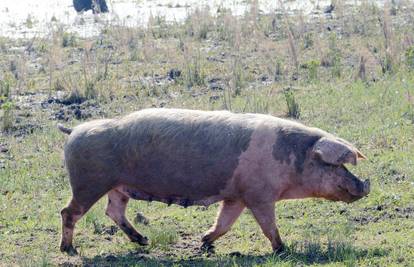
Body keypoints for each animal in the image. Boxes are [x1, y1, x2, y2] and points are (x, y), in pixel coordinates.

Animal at [57, 108, 368, 255]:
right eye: (336, 165)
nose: (366, 185)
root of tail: (74, 130)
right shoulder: (259, 195)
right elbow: (268, 226)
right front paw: (283, 250)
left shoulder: (237, 196)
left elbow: (224, 223)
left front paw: (205, 243)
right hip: (87, 183)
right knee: (68, 212)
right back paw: (69, 250)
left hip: (117, 187)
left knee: (113, 210)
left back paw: (143, 241)